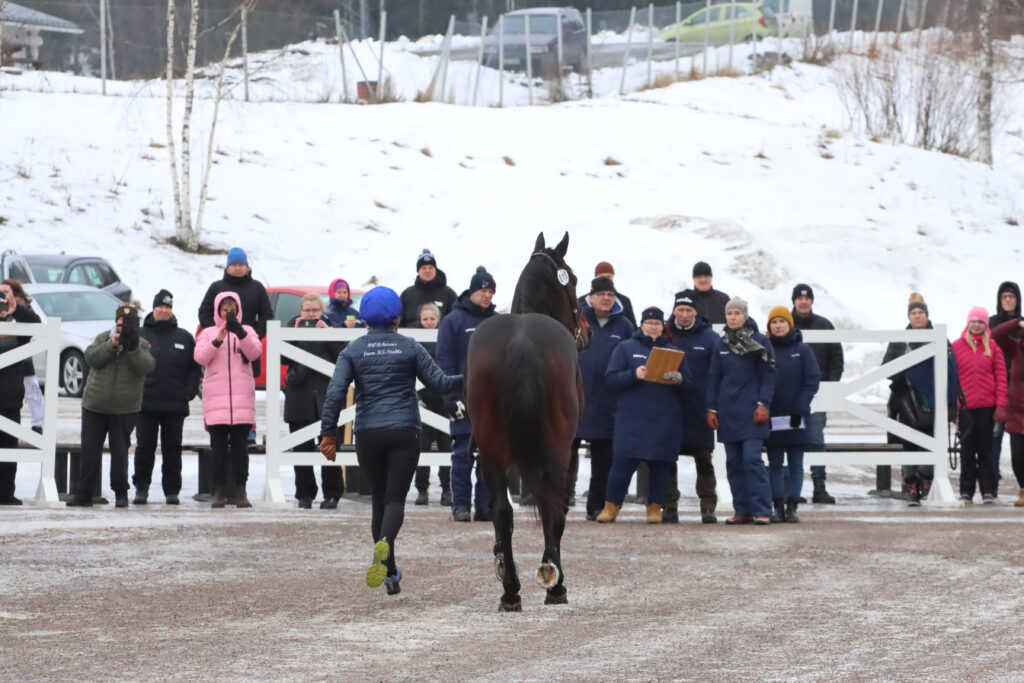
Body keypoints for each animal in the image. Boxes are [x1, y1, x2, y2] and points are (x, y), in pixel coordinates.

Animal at [466, 232, 593, 610]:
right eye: (573, 278)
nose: (587, 330)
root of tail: (520, 343)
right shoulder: (569, 450)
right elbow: (558, 512)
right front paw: (556, 580)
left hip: (491, 449)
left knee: (502, 511)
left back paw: (510, 588)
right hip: (556, 449)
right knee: (552, 507)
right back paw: (553, 581)